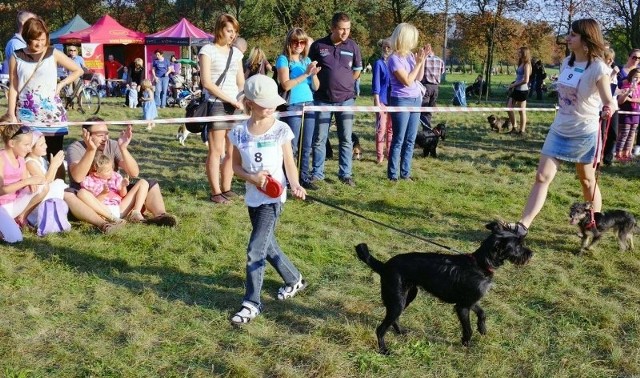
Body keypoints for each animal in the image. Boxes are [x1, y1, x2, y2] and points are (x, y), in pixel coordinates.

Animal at [358, 221, 532, 354]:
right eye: (518, 246)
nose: (531, 254)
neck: (480, 264)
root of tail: (384, 266)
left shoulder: (469, 301)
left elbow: (482, 313)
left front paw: (482, 328)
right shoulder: (462, 307)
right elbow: (468, 329)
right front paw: (466, 344)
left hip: (408, 296)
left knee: (394, 319)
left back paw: (400, 332)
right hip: (397, 301)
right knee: (380, 329)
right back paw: (383, 350)